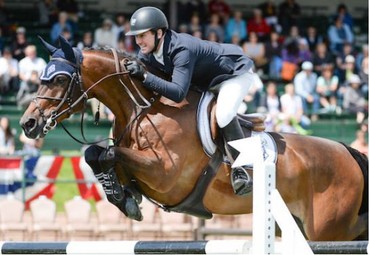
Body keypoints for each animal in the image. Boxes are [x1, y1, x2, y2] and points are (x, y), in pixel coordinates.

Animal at [18, 36, 366, 241]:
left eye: (59, 79)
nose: (28, 124)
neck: (143, 108)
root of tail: (348, 152)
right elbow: (97, 155)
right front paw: (122, 195)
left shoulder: (166, 174)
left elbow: (107, 154)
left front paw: (123, 198)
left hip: (328, 229)